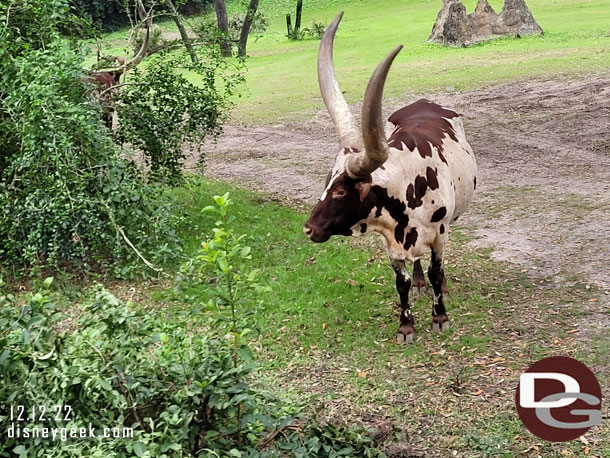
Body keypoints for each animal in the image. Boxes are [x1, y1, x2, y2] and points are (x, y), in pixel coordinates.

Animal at [302, 12, 476, 344]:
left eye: (341, 191)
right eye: (326, 182)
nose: (308, 229)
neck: (406, 183)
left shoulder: (439, 233)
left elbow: (437, 271)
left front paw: (440, 316)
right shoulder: (390, 243)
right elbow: (401, 282)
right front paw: (406, 326)